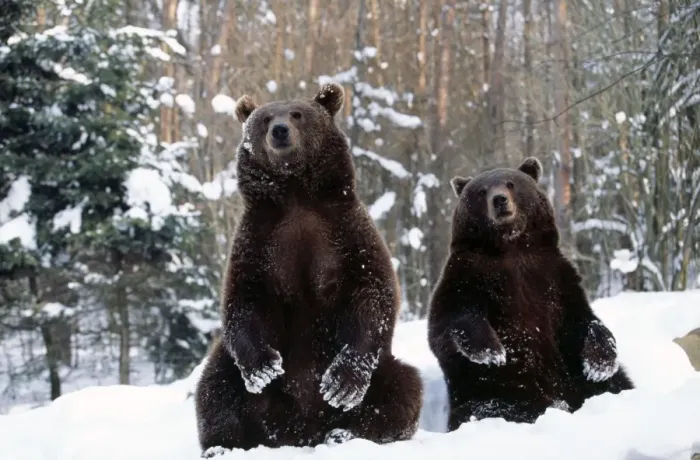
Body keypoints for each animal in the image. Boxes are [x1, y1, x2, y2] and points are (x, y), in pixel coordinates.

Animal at [193, 82, 423, 454]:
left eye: (297, 114)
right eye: (265, 118)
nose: (279, 130)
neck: (296, 193)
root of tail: (300, 433)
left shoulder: (345, 234)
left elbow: (373, 294)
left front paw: (340, 384)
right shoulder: (259, 241)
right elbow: (244, 300)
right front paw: (263, 368)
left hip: (384, 370)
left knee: (403, 387)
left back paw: (346, 432)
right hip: (241, 382)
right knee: (215, 387)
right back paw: (221, 445)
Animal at [427, 157, 633, 431]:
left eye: (511, 183)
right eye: (481, 191)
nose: (499, 200)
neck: (511, 246)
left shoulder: (555, 278)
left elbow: (584, 320)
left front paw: (599, 365)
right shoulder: (468, 274)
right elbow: (451, 318)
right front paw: (492, 352)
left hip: (572, 377)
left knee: (617, 383)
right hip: (497, 389)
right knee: (492, 407)